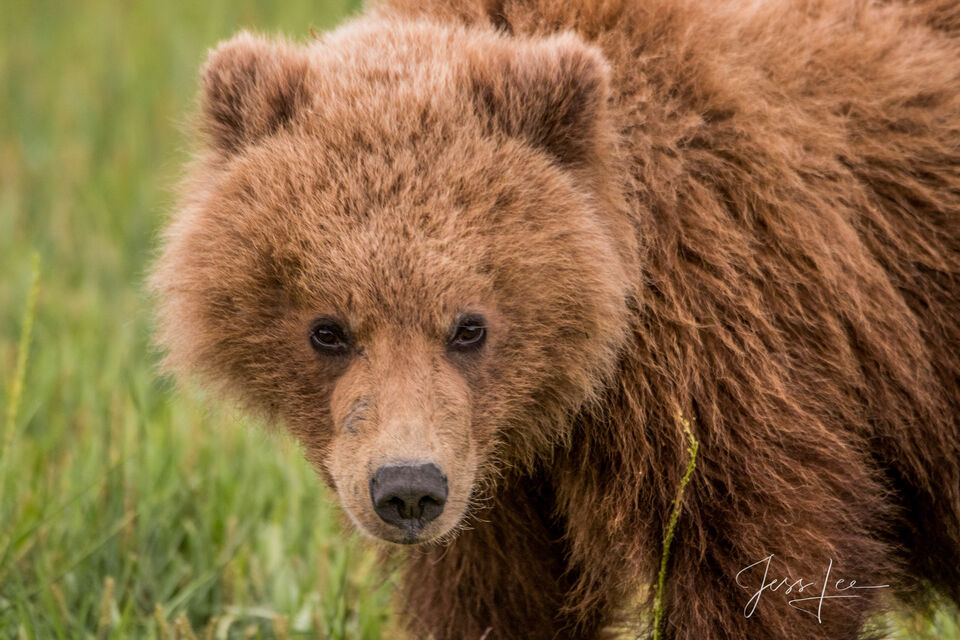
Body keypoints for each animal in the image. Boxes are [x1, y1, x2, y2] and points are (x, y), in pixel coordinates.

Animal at [150, 0, 960, 638]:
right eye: (329, 329)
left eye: (469, 325)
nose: (407, 488)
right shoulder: (490, 486)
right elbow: (498, 601)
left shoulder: (736, 344)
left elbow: (764, 567)